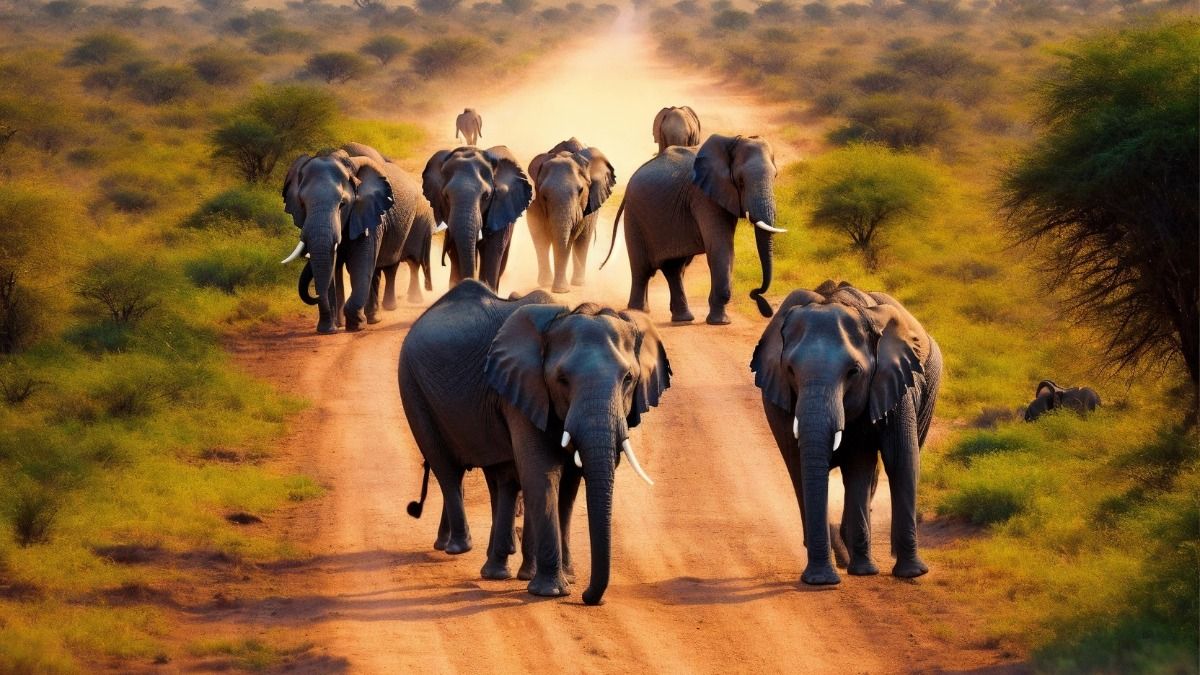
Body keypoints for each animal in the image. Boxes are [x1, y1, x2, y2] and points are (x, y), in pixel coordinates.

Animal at [281, 145, 434, 333]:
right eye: (302, 204)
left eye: (342, 204)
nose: (315, 295)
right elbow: (333, 266)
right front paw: (331, 328)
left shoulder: (371, 214)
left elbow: (360, 262)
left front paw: (356, 325)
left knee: (389, 266)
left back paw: (377, 316)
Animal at [399, 280, 671, 604]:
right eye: (562, 380)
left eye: (628, 379)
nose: (590, 598)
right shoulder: (523, 389)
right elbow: (542, 474)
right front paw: (551, 591)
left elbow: (569, 484)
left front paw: (565, 579)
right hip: (412, 386)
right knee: (446, 468)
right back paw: (459, 548)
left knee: (501, 477)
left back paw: (497, 568)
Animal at [526, 137, 616, 293]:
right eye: (544, 196)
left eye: (581, 191)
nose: (558, 290)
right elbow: (543, 236)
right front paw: (556, 289)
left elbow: (572, 237)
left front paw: (561, 291)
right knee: (540, 240)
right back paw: (546, 283)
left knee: (583, 240)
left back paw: (578, 283)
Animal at [602, 134, 786, 325]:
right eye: (741, 181)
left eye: (775, 176)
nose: (764, 307)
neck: (732, 142)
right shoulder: (703, 196)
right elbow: (720, 248)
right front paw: (720, 322)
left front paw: (719, 321)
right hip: (634, 216)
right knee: (641, 270)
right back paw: (638, 312)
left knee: (674, 268)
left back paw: (682, 318)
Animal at [751, 280, 942, 585]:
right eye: (790, 370)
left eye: (853, 372)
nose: (822, 579)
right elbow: (805, 466)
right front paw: (828, 577)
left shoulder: (895, 382)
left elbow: (899, 458)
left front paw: (911, 573)